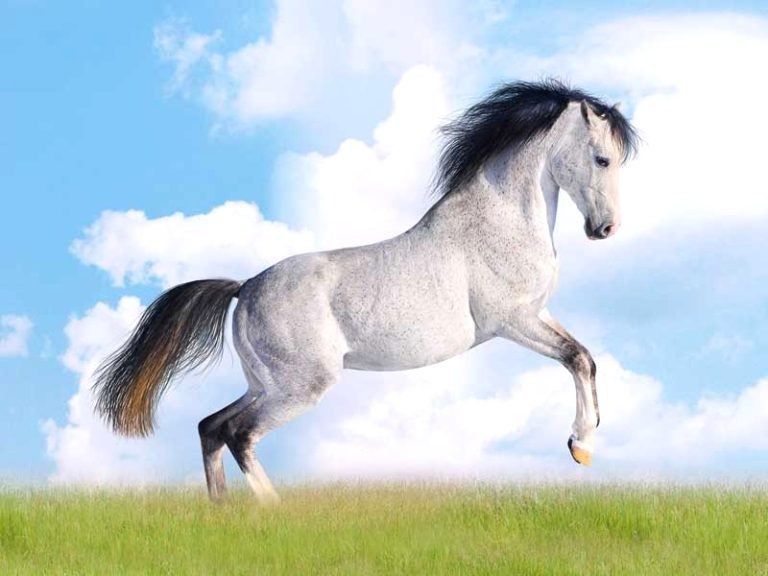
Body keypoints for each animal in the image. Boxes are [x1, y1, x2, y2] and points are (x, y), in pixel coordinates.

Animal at [93, 79, 638, 503]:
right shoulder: (512, 321)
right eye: (602, 159)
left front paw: (584, 446)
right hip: (300, 386)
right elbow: (575, 358)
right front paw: (580, 444)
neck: (499, 221)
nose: (605, 229)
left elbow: (586, 358)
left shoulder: (536, 315)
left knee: (211, 426)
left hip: (266, 383)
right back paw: (273, 512)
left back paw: (222, 511)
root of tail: (244, 288)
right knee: (238, 434)